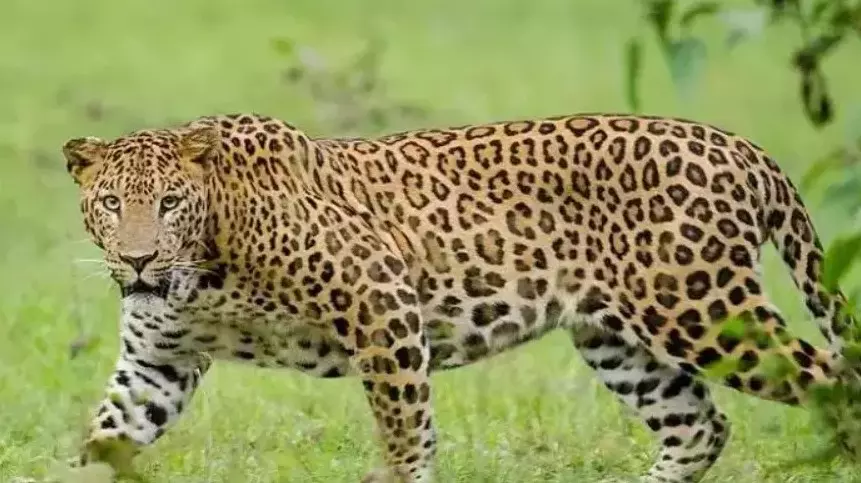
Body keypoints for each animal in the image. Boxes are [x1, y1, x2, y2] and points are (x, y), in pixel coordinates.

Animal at [60, 111, 858, 483]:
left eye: (168, 203)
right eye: (110, 203)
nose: (138, 259)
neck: (202, 270)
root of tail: (741, 147)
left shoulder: (381, 300)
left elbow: (404, 427)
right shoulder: (157, 365)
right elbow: (104, 437)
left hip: (702, 311)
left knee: (834, 377)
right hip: (618, 337)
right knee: (699, 426)